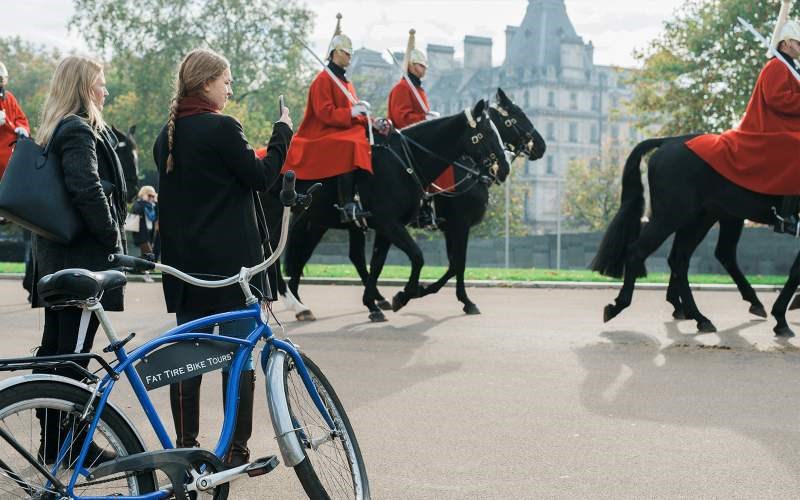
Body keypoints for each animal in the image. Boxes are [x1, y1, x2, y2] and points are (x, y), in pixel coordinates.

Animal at [276, 99, 510, 322]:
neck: (403, 162)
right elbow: (422, 257)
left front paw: (374, 304)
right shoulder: (401, 223)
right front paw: (406, 295)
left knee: (304, 256)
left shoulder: (388, 227)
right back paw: (294, 303)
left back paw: (300, 302)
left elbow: (378, 263)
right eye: (488, 132)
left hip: (316, 222)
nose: (505, 168)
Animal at [588, 137, 800, 338]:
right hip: (676, 215)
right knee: (641, 252)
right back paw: (622, 306)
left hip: (702, 216)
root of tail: (668, 140)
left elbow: (795, 271)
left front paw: (785, 313)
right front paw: (781, 318)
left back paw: (697, 314)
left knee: (684, 258)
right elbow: (795, 272)